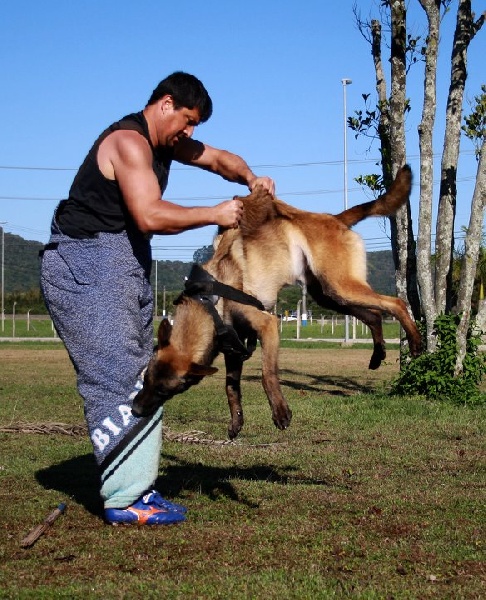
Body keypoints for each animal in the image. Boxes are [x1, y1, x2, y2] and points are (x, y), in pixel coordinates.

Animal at [133, 166, 422, 438]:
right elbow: (230, 386)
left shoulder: (268, 326)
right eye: (145, 378)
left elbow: (267, 374)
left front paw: (280, 411)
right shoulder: (234, 351)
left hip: (340, 286)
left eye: (167, 390)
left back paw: (416, 343)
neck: (209, 302)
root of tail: (334, 218)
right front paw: (236, 420)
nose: (135, 409)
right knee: (374, 315)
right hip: (329, 295)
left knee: (396, 303)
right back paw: (378, 354)